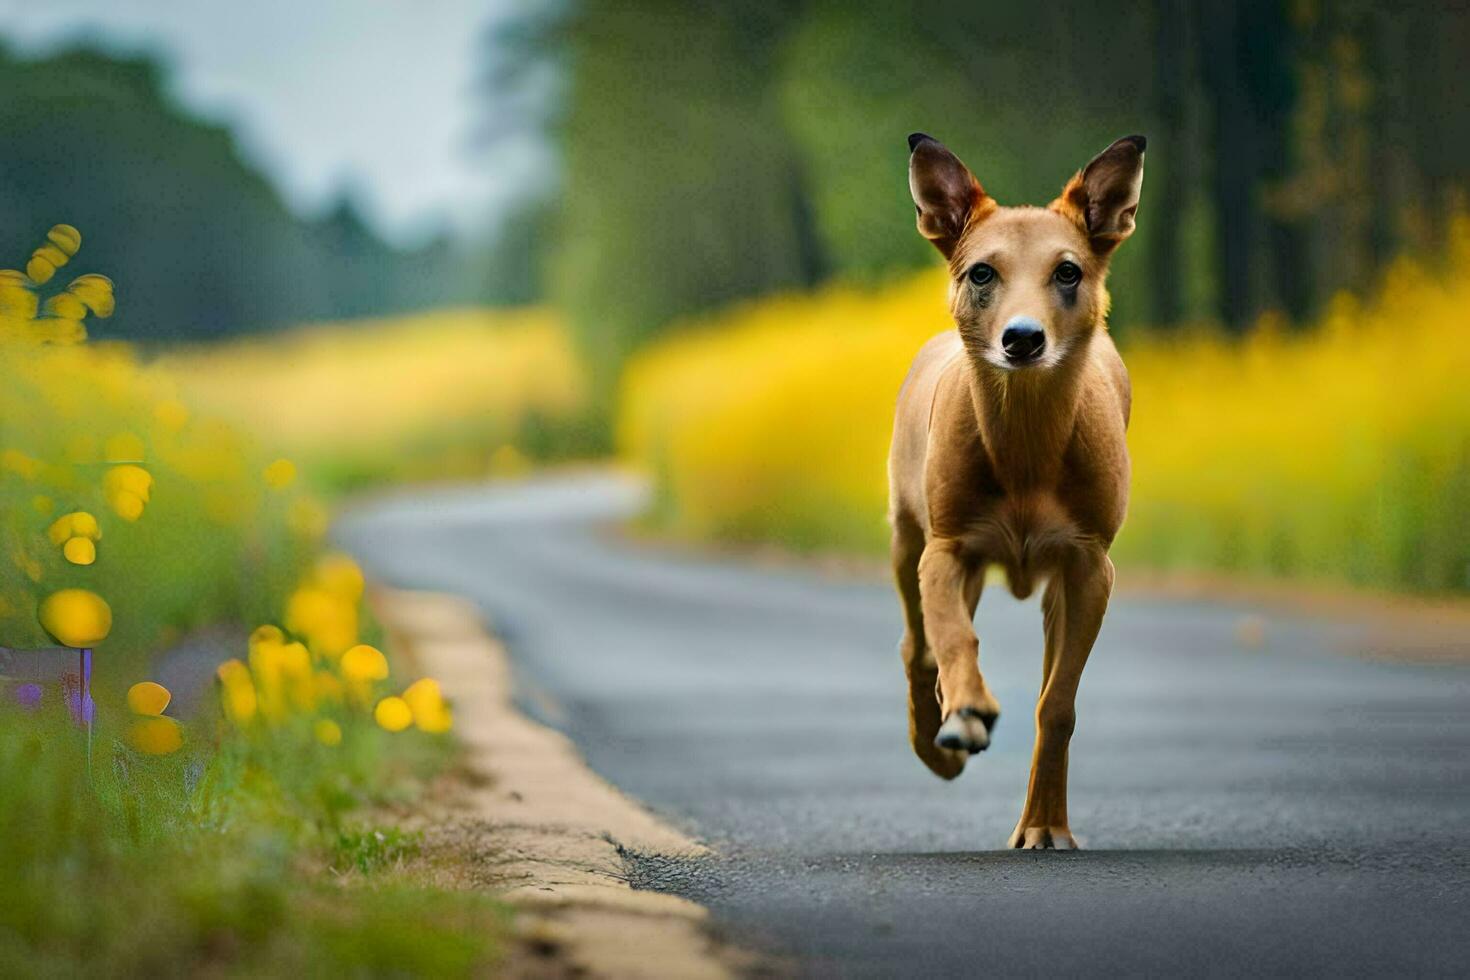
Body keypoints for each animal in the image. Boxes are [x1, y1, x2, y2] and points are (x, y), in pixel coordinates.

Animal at [887, 134, 1140, 846]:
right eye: (981, 273)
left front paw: (1045, 827)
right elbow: (951, 639)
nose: (1022, 338)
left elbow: (1057, 704)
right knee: (916, 645)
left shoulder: (1090, 561)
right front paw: (967, 713)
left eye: (1068, 271)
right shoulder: (947, 545)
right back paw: (939, 739)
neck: (1026, 451)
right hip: (907, 537)